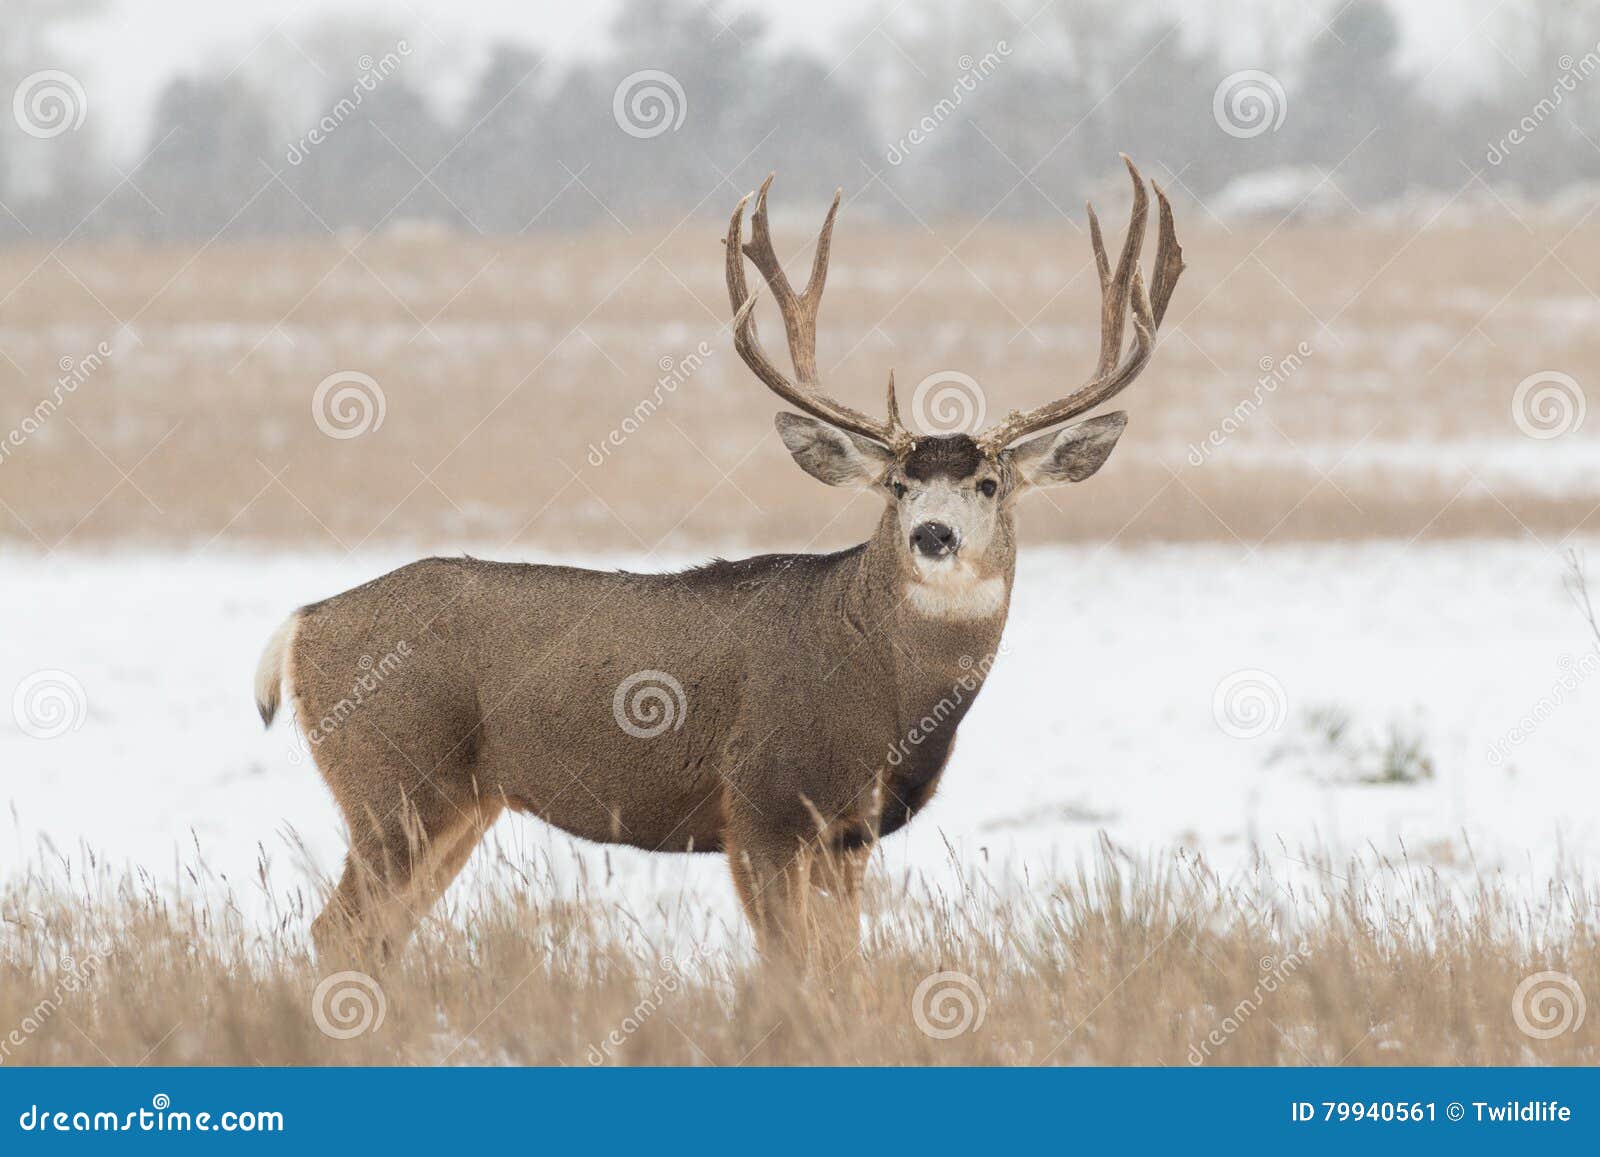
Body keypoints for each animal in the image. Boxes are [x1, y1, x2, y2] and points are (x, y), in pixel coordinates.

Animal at [256, 153, 1184, 966]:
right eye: (895, 485)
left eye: (991, 482)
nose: (933, 535)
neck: (882, 692)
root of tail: (303, 623)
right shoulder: (761, 807)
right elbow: (791, 971)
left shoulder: (847, 836)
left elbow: (842, 967)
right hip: (394, 781)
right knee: (339, 929)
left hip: (459, 804)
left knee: (379, 934)